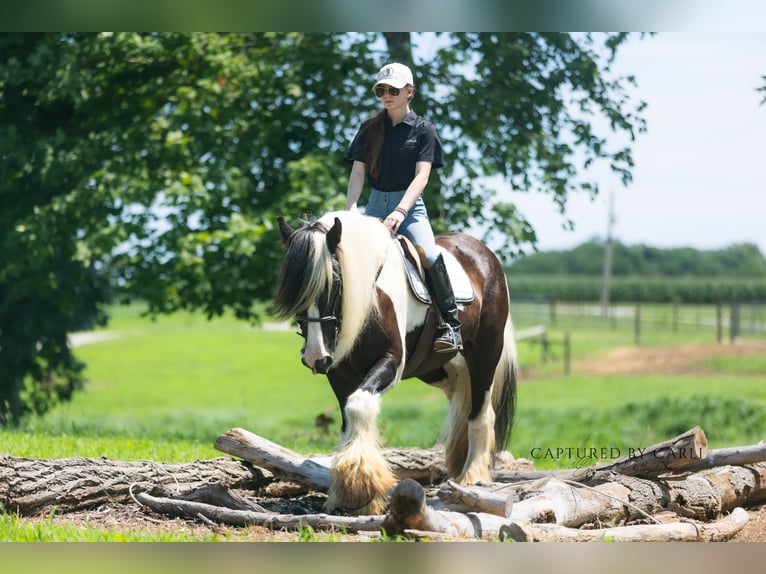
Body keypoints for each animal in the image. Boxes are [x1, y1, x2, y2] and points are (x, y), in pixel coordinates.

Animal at [271, 210, 517, 515]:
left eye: (336, 282)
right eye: (293, 288)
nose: (315, 357)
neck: (370, 295)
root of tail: (485, 253)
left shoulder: (390, 362)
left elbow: (359, 405)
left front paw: (361, 487)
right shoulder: (338, 373)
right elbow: (346, 421)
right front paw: (344, 494)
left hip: (484, 354)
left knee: (481, 414)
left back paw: (472, 477)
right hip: (442, 369)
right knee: (462, 400)